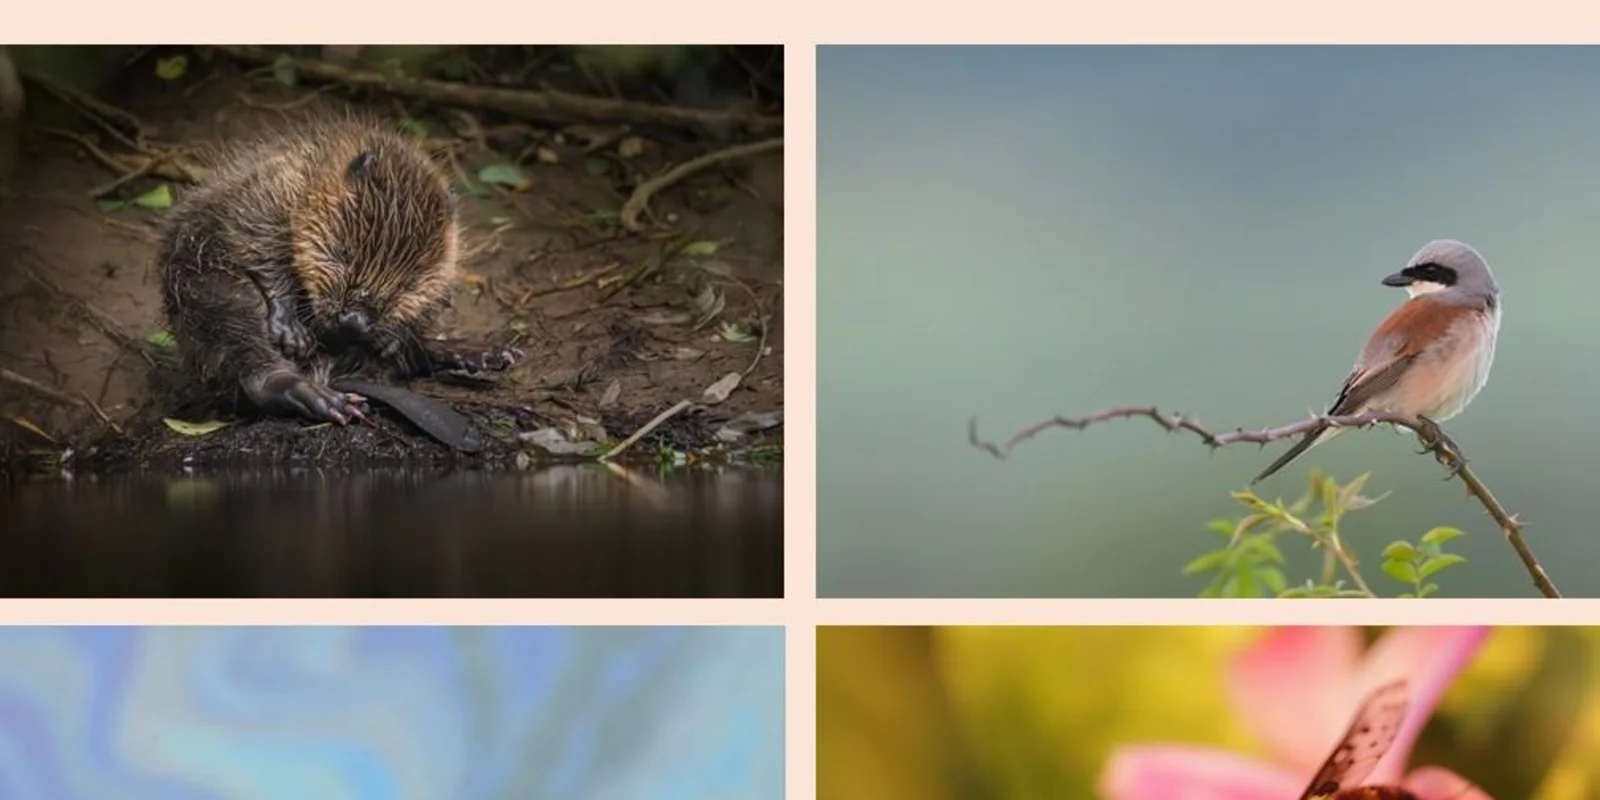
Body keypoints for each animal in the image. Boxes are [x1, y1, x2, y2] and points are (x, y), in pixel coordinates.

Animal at [157, 114, 518, 425]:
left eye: (410, 284)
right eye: (343, 252)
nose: (354, 322)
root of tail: (333, 374)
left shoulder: (449, 260)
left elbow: (436, 298)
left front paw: (392, 337)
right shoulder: (273, 186)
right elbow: (255, 235)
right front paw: (291, 329)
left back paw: (486, 354)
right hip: (204, 285)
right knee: (238, 344)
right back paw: (323, 399)